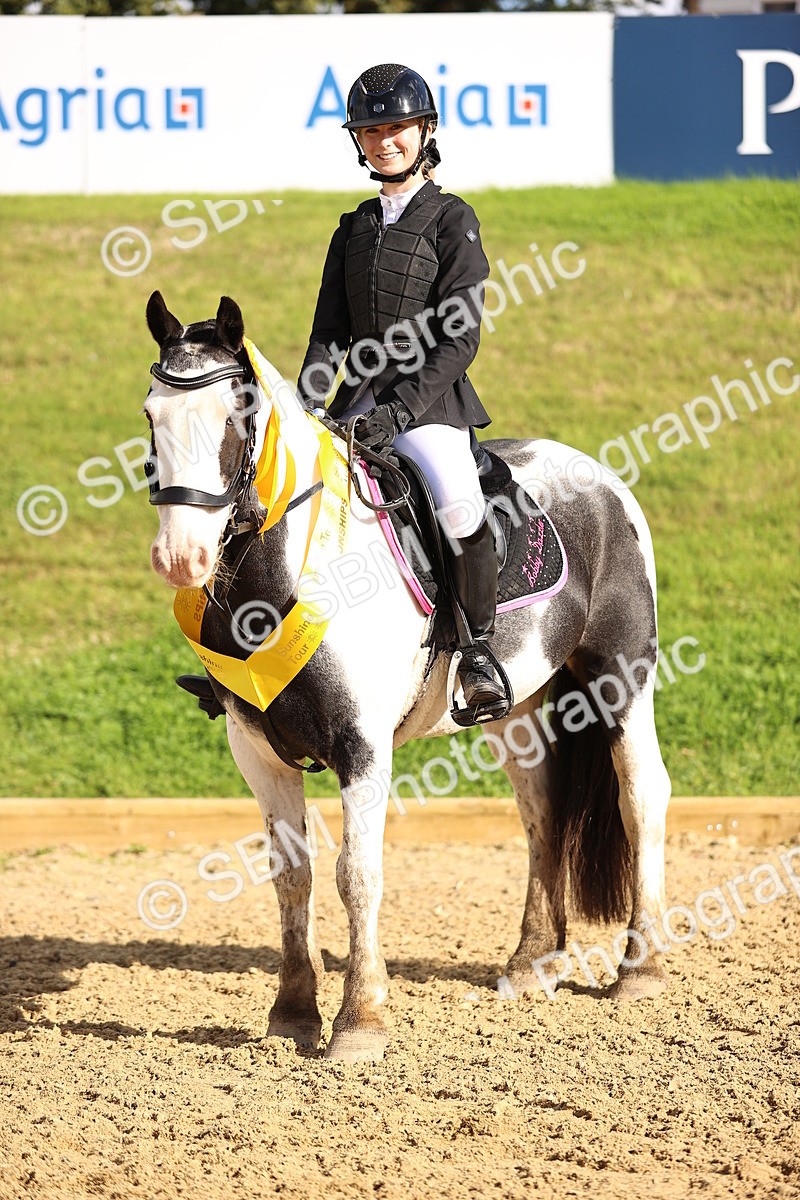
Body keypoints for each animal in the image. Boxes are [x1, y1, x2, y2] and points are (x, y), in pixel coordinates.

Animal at [143, 290, 672, 1063]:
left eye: (238, 414)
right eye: (151, 413)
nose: (181, 556)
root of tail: (600, 478)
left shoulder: (363, 749)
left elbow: (356, 876)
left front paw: (361, 1021)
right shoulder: (258, 751)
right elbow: (292, 878)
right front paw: (292, 1013)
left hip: (620, 675)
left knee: (641, 797)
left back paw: (641, 967)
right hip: (515, 710)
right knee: (542, 812)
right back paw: (531, 964)